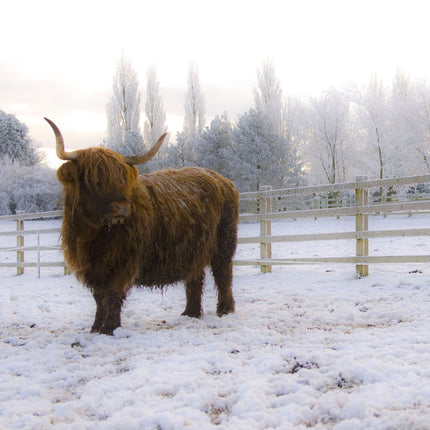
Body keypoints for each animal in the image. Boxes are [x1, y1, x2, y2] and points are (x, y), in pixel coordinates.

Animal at [47, 118, 239, 336]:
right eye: (95, 179)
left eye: (122, 179)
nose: (122, 207)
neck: (95, 235)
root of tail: (222, 179)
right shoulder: (93, 267)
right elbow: (99, 298)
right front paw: (95, 328)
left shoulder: (123, 261)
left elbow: (113, 294)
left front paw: (109, 328)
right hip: (195, 248)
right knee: (195, 278)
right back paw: (190, 313)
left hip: (224, 242)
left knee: (223, 274)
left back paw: (224, 310)